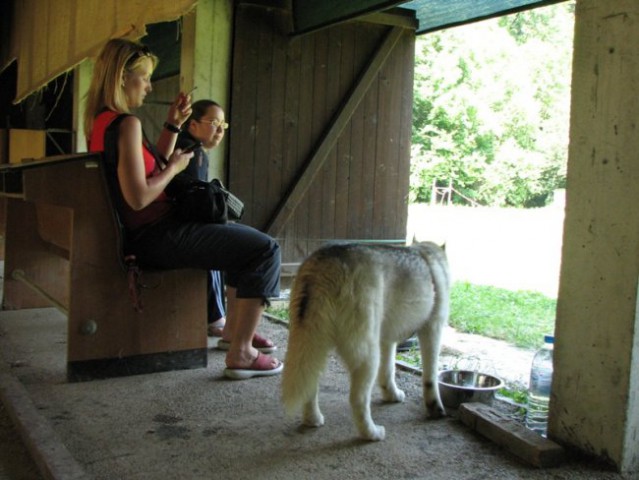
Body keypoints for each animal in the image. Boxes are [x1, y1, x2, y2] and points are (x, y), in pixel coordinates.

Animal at [280, 242, 450, 440]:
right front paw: (436, 408)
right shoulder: (432, 329)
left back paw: (313, 420)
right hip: (368, 357)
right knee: (357, 400)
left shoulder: (387, 340)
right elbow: (430, 376)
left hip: (314, 348)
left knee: (311, 386)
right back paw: (372, 433)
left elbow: (388, 372)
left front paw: (391, 394)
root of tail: (327, 261)